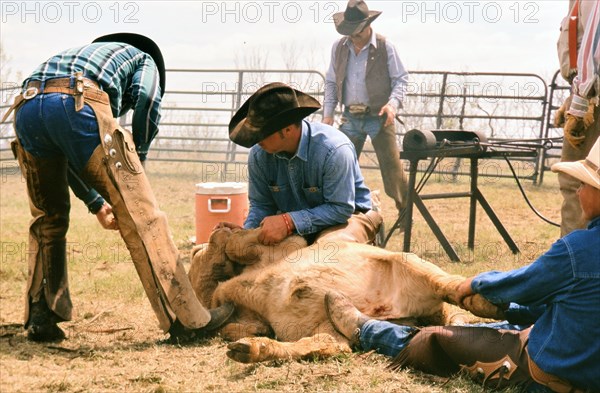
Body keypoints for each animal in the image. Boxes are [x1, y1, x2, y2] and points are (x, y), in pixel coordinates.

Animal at [189, 228, 502, 362]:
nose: (217, 228)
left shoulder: (287, 245)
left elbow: (236, 243)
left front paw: (226, 237)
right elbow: (233, 327)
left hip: (413, 264)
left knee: (450, 285)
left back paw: (488, 302)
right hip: (329, 321)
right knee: (331, 344)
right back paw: (252, 350)